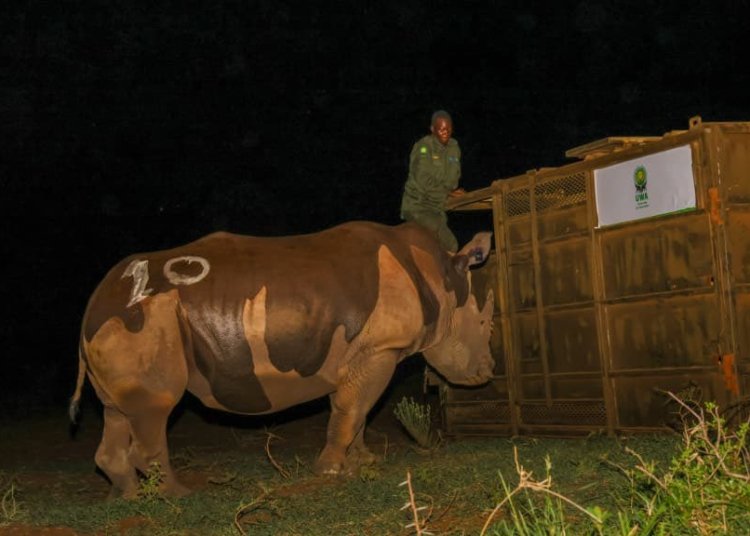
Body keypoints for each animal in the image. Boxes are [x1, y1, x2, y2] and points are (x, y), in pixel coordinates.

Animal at [70, 221, 494, 498]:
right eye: (483, 323)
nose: (488, 373)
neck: (442, 279)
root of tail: (93, 303)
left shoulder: (362, 355)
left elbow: (354, 411)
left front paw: (362, 463)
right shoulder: (381, 348)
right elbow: (355, 409)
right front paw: (331, 470)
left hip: (121, 324)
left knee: (117, 410)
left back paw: (130, 497)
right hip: (147, 319)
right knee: (155, 406)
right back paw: (178, 495)